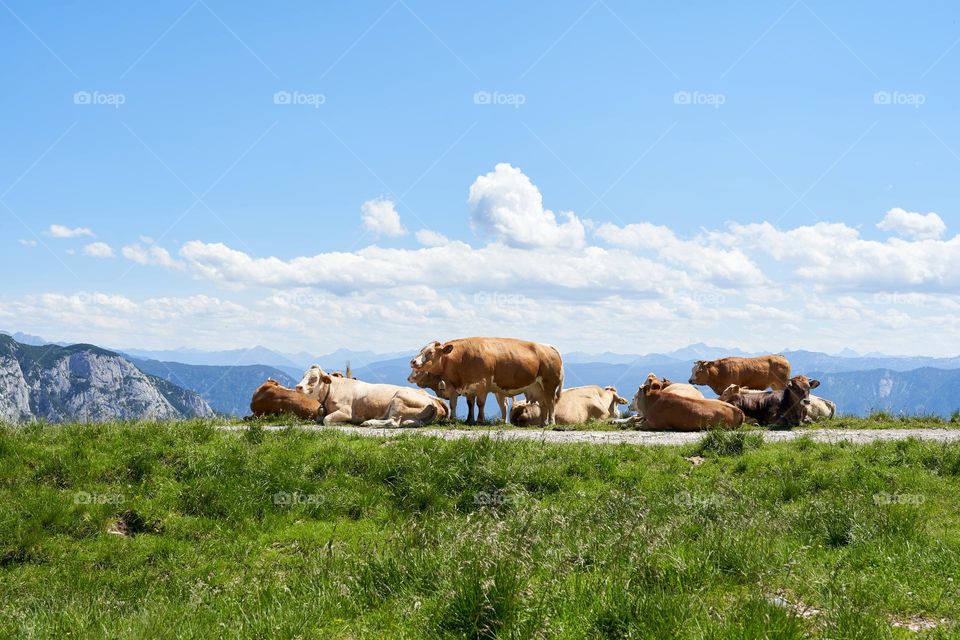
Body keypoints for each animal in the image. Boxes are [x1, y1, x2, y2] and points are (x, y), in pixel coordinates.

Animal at [298, 362, 448, 428]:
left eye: (314, 378)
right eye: (303, 376)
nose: (298, 387)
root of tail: (429, 397)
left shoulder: (346, 411)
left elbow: (326, 420)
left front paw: (343, 422)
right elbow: (320, 418)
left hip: (399, 401)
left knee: (393, 422)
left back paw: (368, 422)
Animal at [410, 336, 564, 424]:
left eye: (430, 352)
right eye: (421, 350)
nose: (413, 361)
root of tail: (548, 346)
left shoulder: (482, 385)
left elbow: (480, 403)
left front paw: (480, 420)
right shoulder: (469, 388)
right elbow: (470, 404)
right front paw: (469, 420)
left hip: (549, 385)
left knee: (551, 403)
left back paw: (551, 422)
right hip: (537, 388)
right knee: (543, 404)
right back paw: (543, 423)